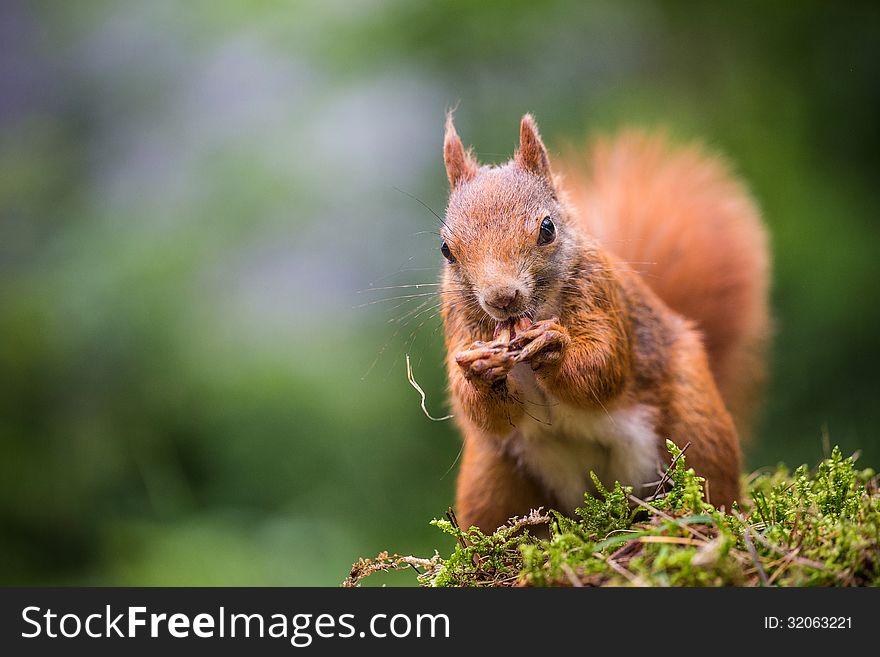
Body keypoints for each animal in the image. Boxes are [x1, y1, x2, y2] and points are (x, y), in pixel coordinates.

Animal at [436, 113, 768, 532]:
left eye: (547, 228)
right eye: (446, 249)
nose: (501, 298)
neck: (532, 314)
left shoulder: (602, 296)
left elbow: (603, 367)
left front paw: (553, 346)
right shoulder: (458, 326)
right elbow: (483, 412)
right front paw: (480, 370)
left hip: (696, 426)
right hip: (491, 478)